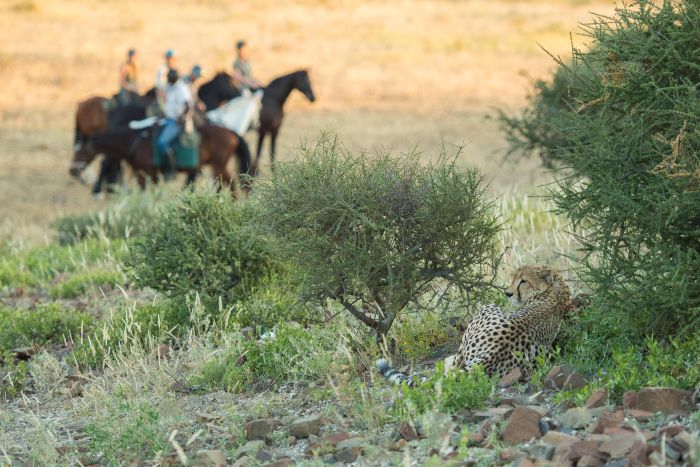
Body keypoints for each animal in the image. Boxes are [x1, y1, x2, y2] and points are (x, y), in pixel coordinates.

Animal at [70, 120, 252, 196]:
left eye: (79, 150)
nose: (72, 170)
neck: (134, 140)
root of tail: (232, 133)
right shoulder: (143, 174)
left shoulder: (150, 174)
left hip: (218, 165)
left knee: (230, 182)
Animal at [374, 266, 572, 386]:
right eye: (514, 278)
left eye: (524, 281)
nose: (507, 293)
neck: (555, 290)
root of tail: (490, 356)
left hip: (486, 309)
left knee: (454, 365)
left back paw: (447, 361)